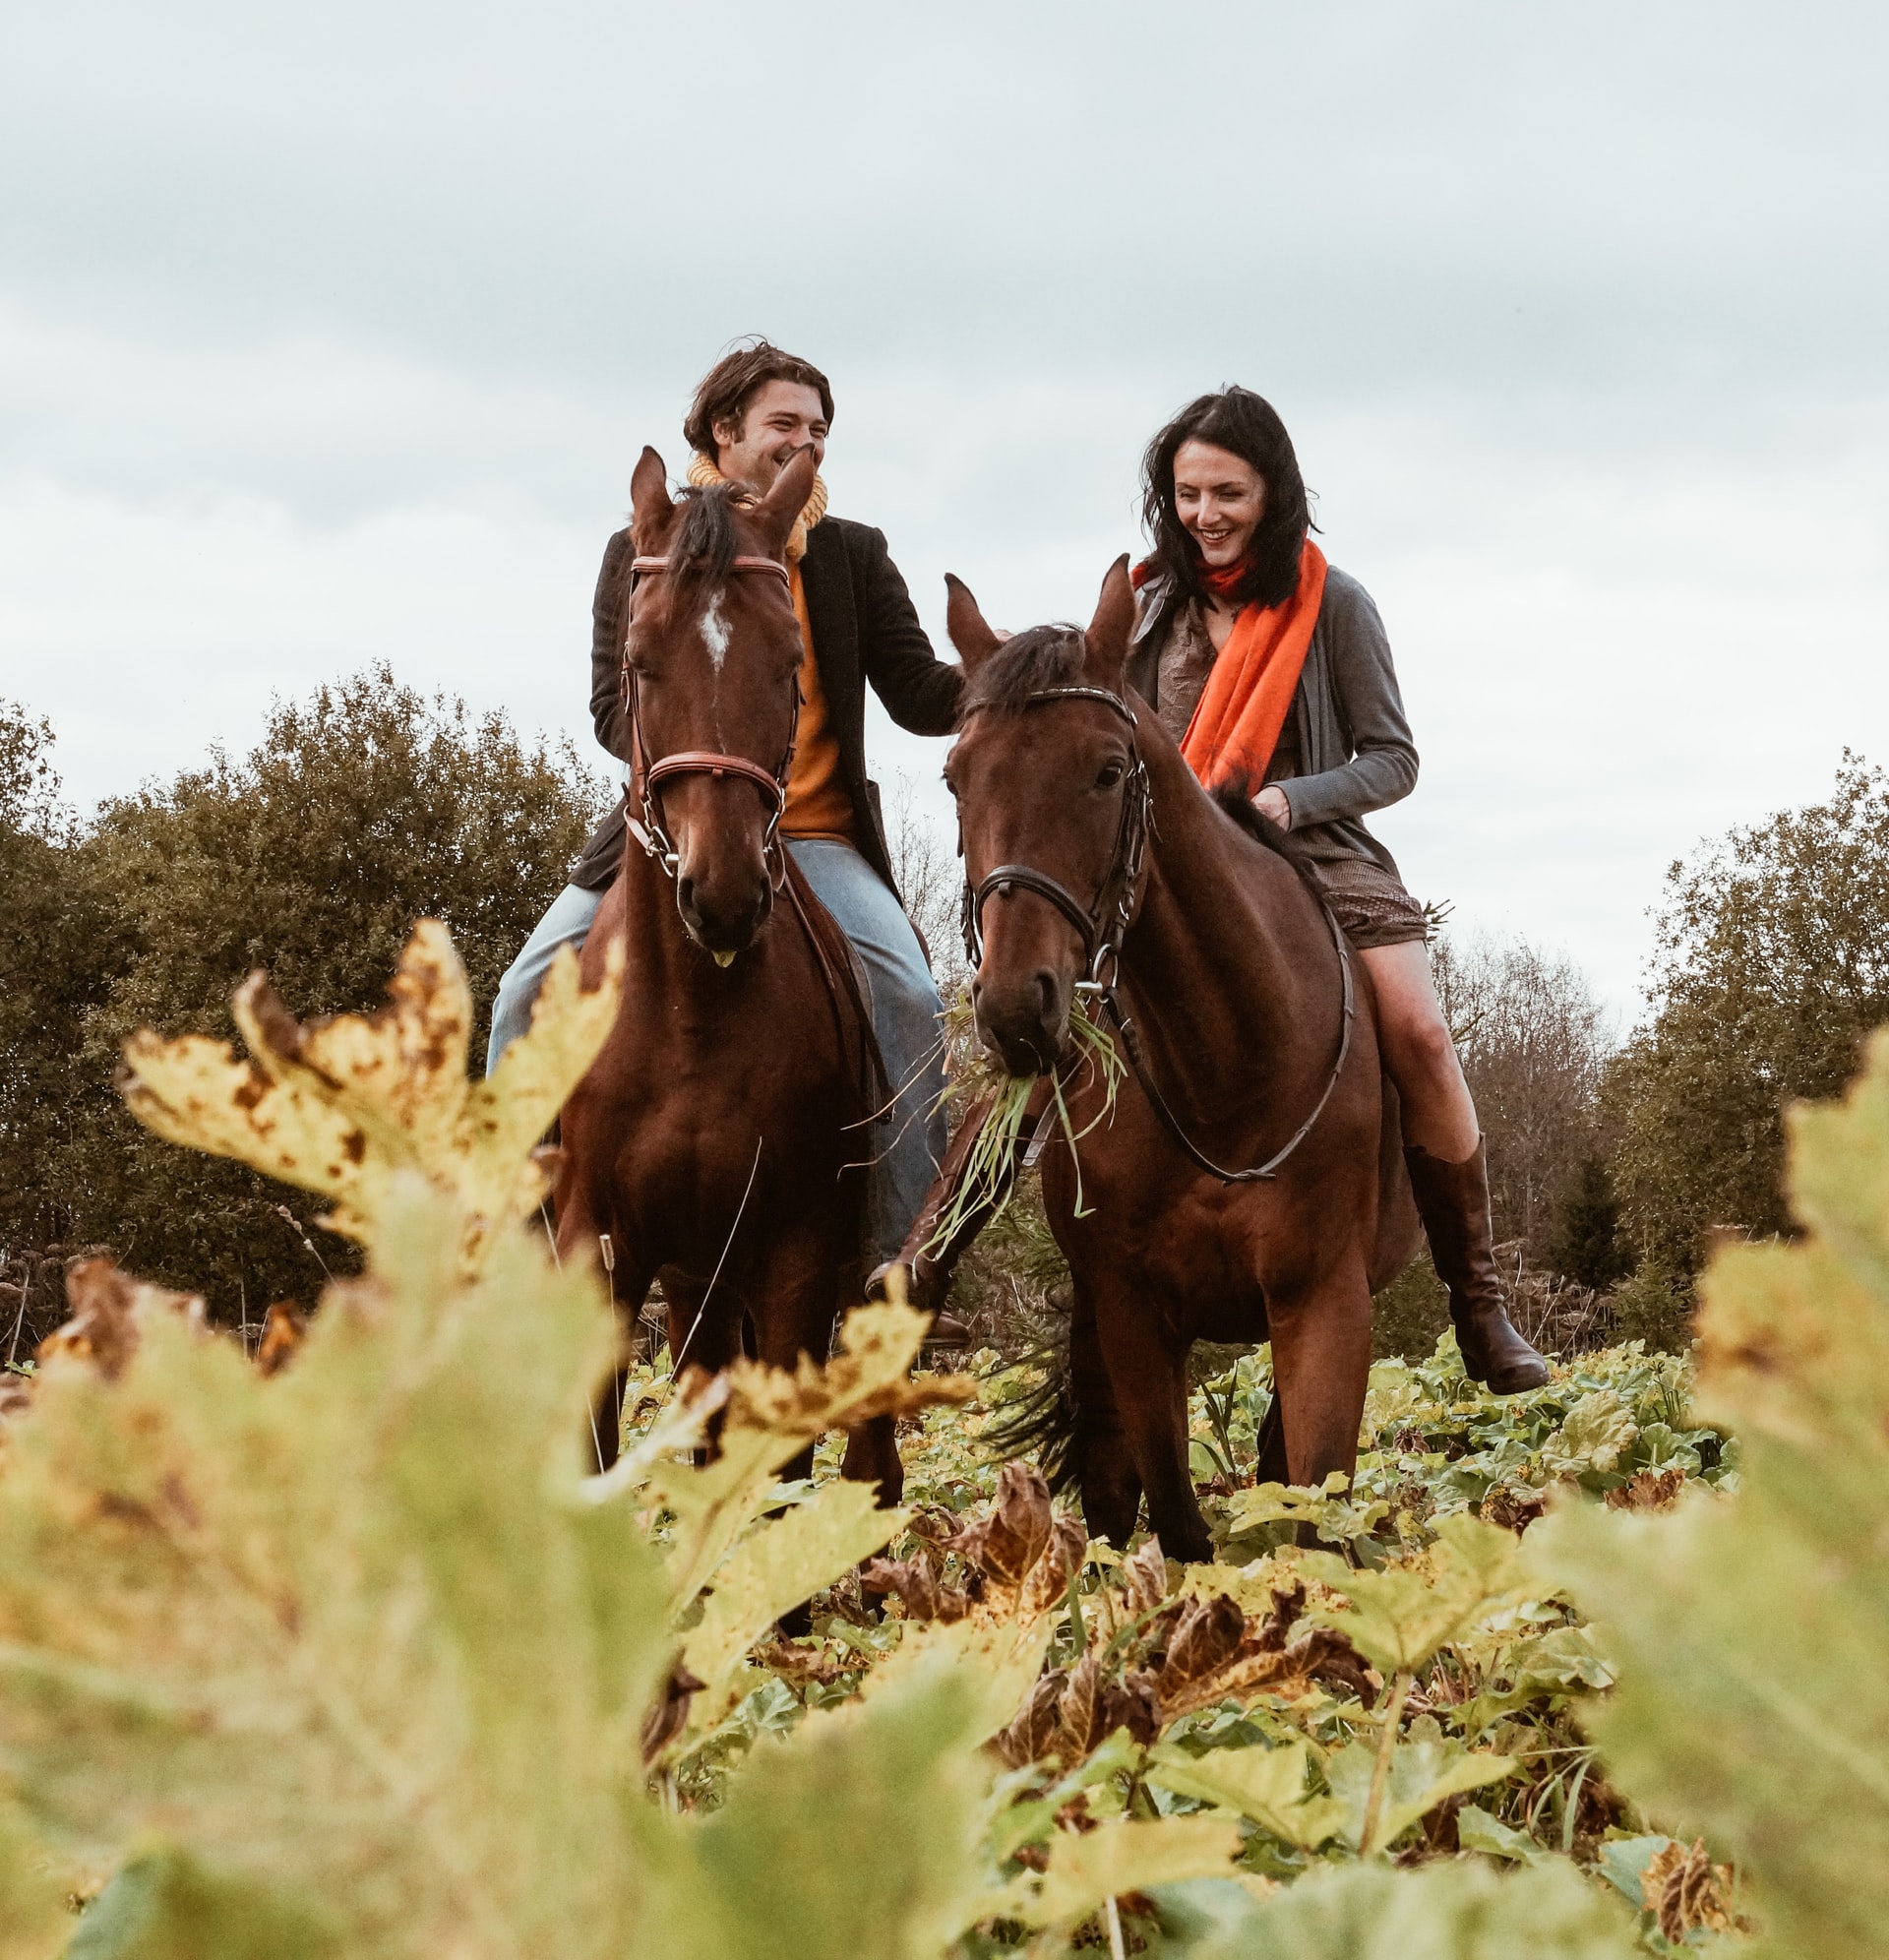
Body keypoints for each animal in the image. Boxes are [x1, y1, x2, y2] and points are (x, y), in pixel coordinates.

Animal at [556, 437, 897, 1489]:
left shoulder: (793, 1265)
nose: (725, 894)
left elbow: (778, 1484)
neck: (690, 1021)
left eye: (790, 660)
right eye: (637, 658)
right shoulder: (600, 1255)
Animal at [937, 556, 1426, 1560]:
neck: (1225, 1074)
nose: (1013, 1006)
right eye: (957, 776)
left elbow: (1312, 1515)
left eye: (1106, 771)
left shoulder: (1325, 1306)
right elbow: (1173, 1519)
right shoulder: (1130, 1315)